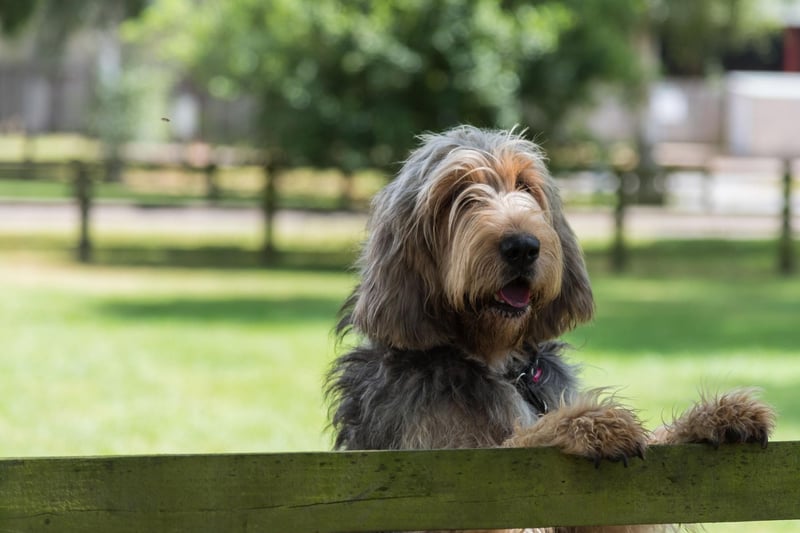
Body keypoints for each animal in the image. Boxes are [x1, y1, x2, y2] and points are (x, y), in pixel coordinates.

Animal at [324, 125, 776, 532]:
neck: (497, 361)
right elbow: (519, 445)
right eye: (456, 193)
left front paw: (712, 418)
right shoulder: (437, 480)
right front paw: (584, 424)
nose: (523, 246)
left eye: (525, 184)